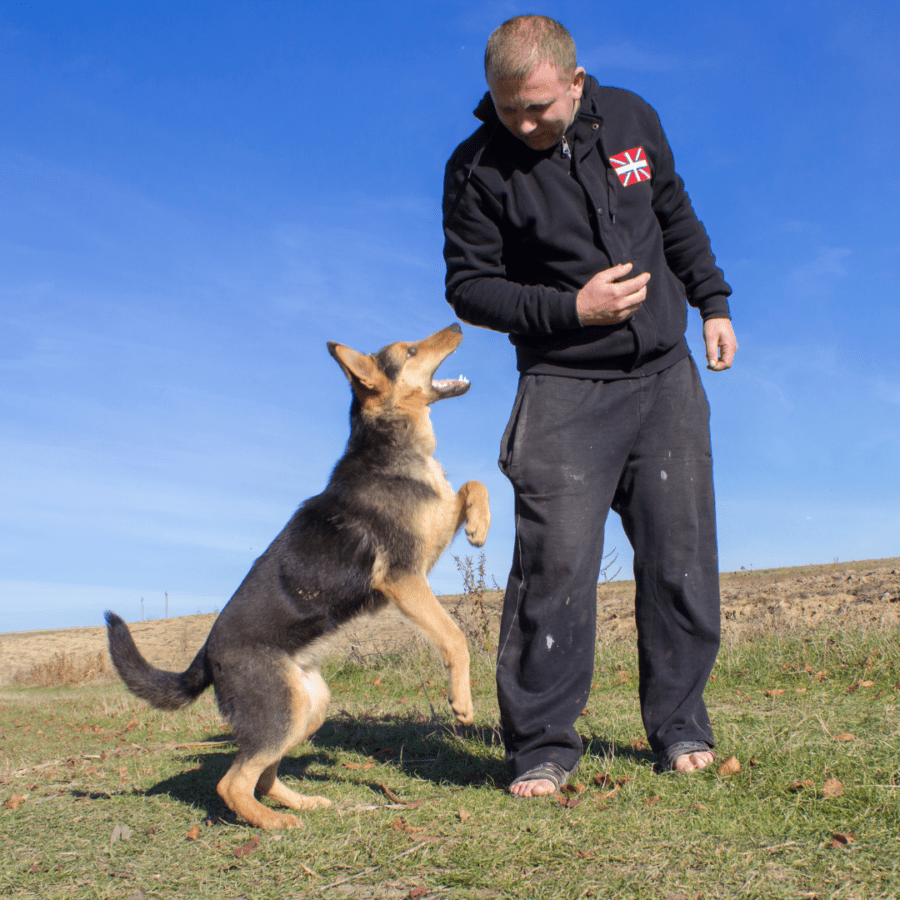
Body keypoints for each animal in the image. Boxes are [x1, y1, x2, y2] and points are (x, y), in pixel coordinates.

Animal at [105, 324, 492, 828]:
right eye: (410, 351)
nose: (459, 325)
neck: (389, 442)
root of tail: (207, 655)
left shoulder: (432, 534)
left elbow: (471, 485)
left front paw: (480, 525)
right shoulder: (405, 577)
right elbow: (454, 637)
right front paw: (461, 702)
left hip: (306, 708)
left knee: (262, 774)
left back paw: (299, 803)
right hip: (281, 714)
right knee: (232, 782)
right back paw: (273, 823)